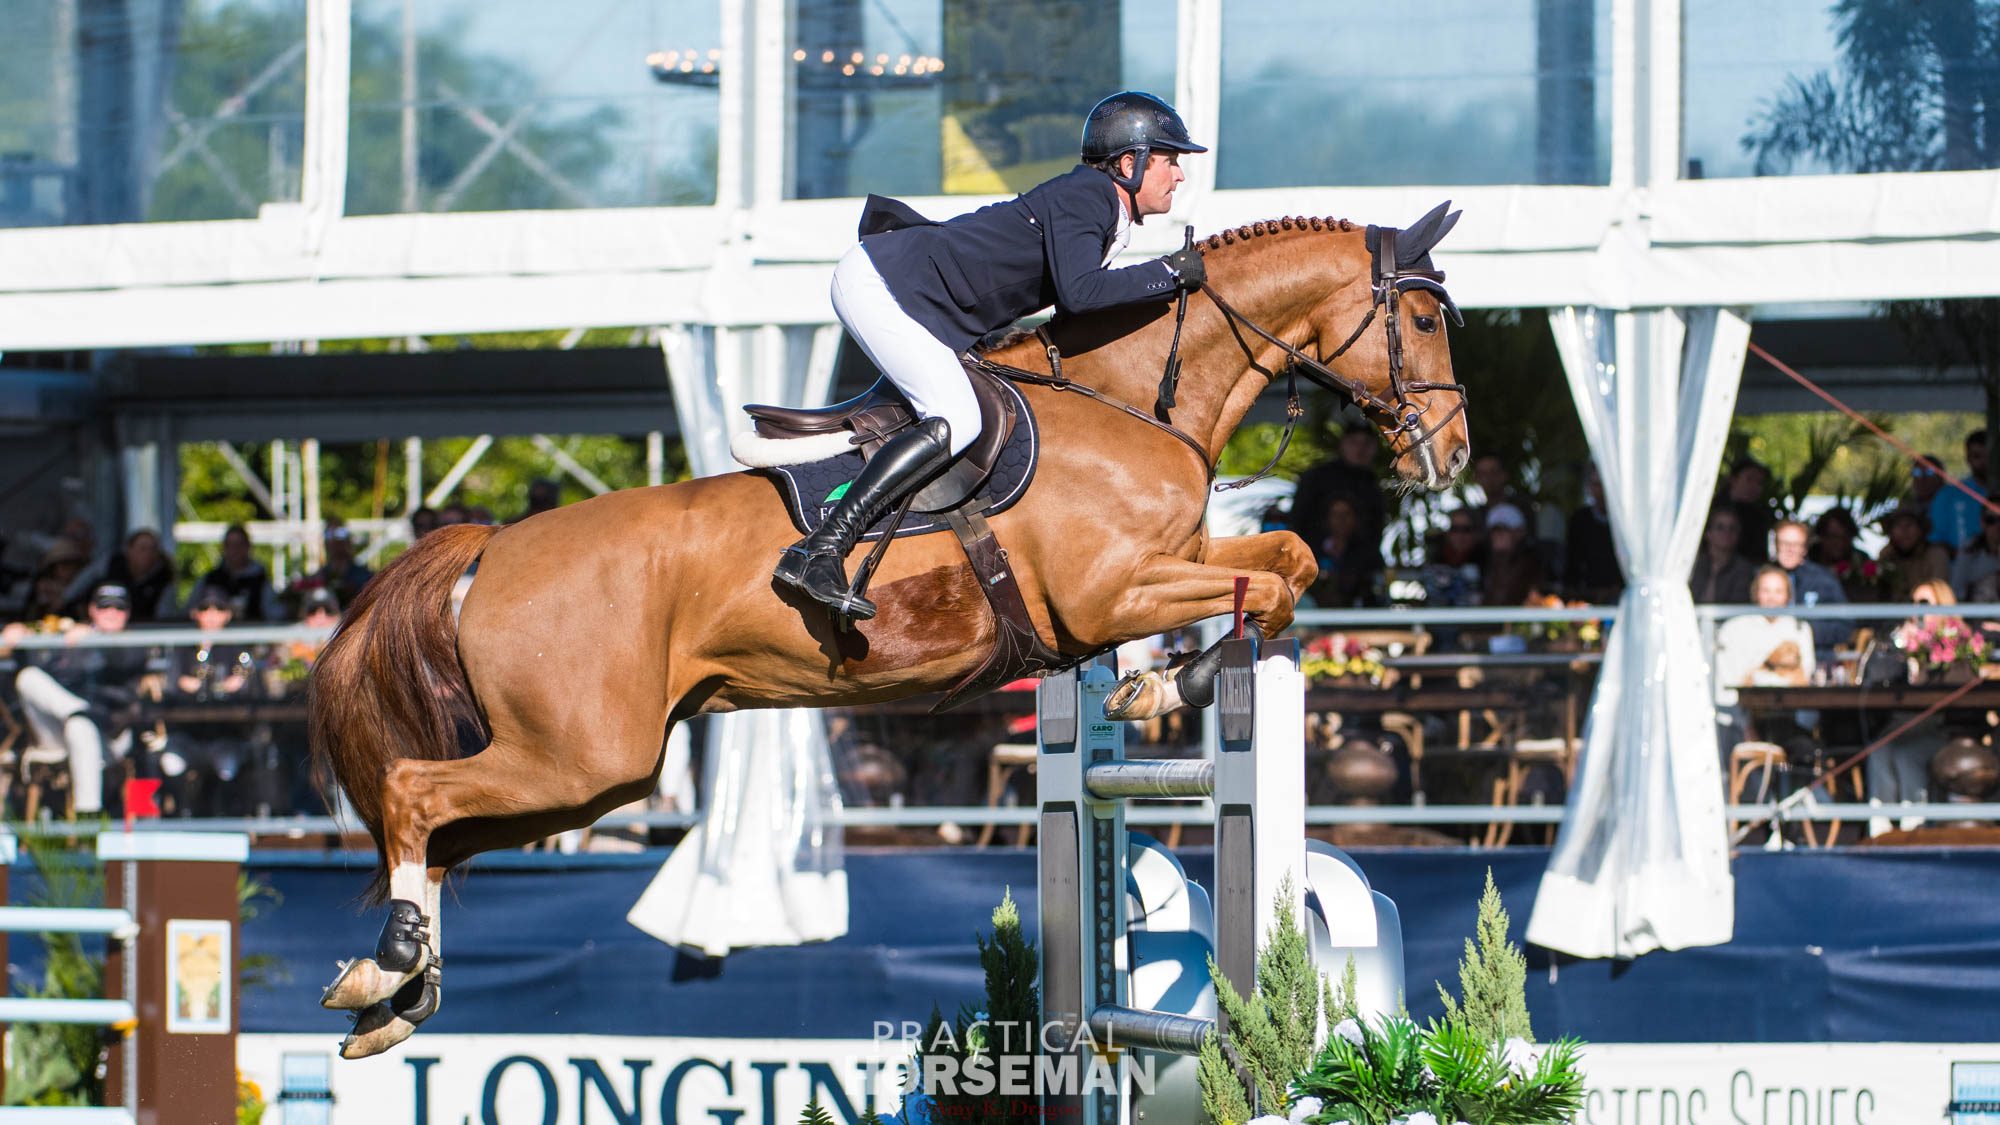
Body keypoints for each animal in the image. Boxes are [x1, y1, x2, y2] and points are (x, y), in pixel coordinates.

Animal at [308, 206, 1472, 1056]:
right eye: (1422, 321)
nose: (1452, 452)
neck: (1133, 399)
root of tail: (490, 546)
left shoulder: (1160, 571)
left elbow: (1286, 560)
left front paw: (1158, 685)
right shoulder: (1110, 595)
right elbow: (1268, 580)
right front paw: (1166, 686)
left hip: (591, 774)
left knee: (444, 832)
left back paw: (394, 994)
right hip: (579, 754)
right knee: (415, 796)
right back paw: (388, 968)